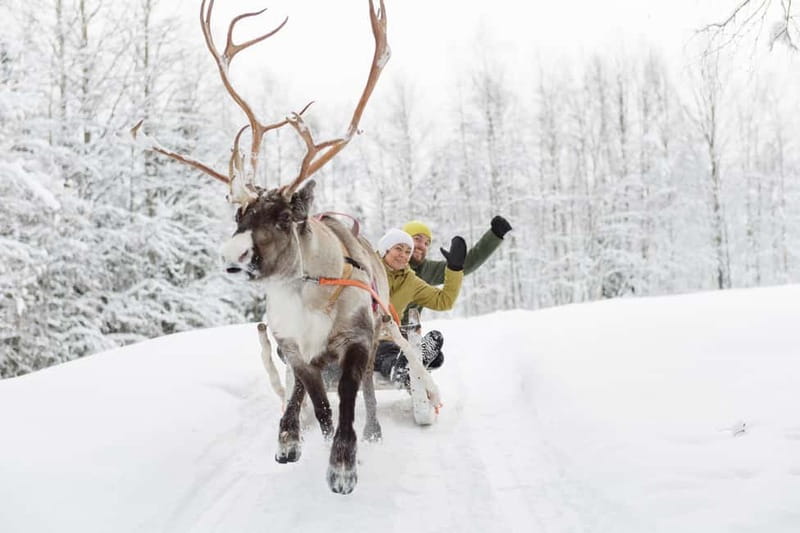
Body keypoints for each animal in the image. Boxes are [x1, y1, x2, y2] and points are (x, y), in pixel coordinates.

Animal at [131, 0, 441, 495]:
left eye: (283, 218)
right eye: (238, 216)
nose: (231, 257)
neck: (306, 297)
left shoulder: (357, 338)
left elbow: (350, 397)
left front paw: (344, 465)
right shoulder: (294, 349)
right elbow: (318, 403)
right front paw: (309, 442)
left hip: (383, 330)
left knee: (376, 386)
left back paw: (377, 428)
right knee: (299, 394)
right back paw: (290, 438)